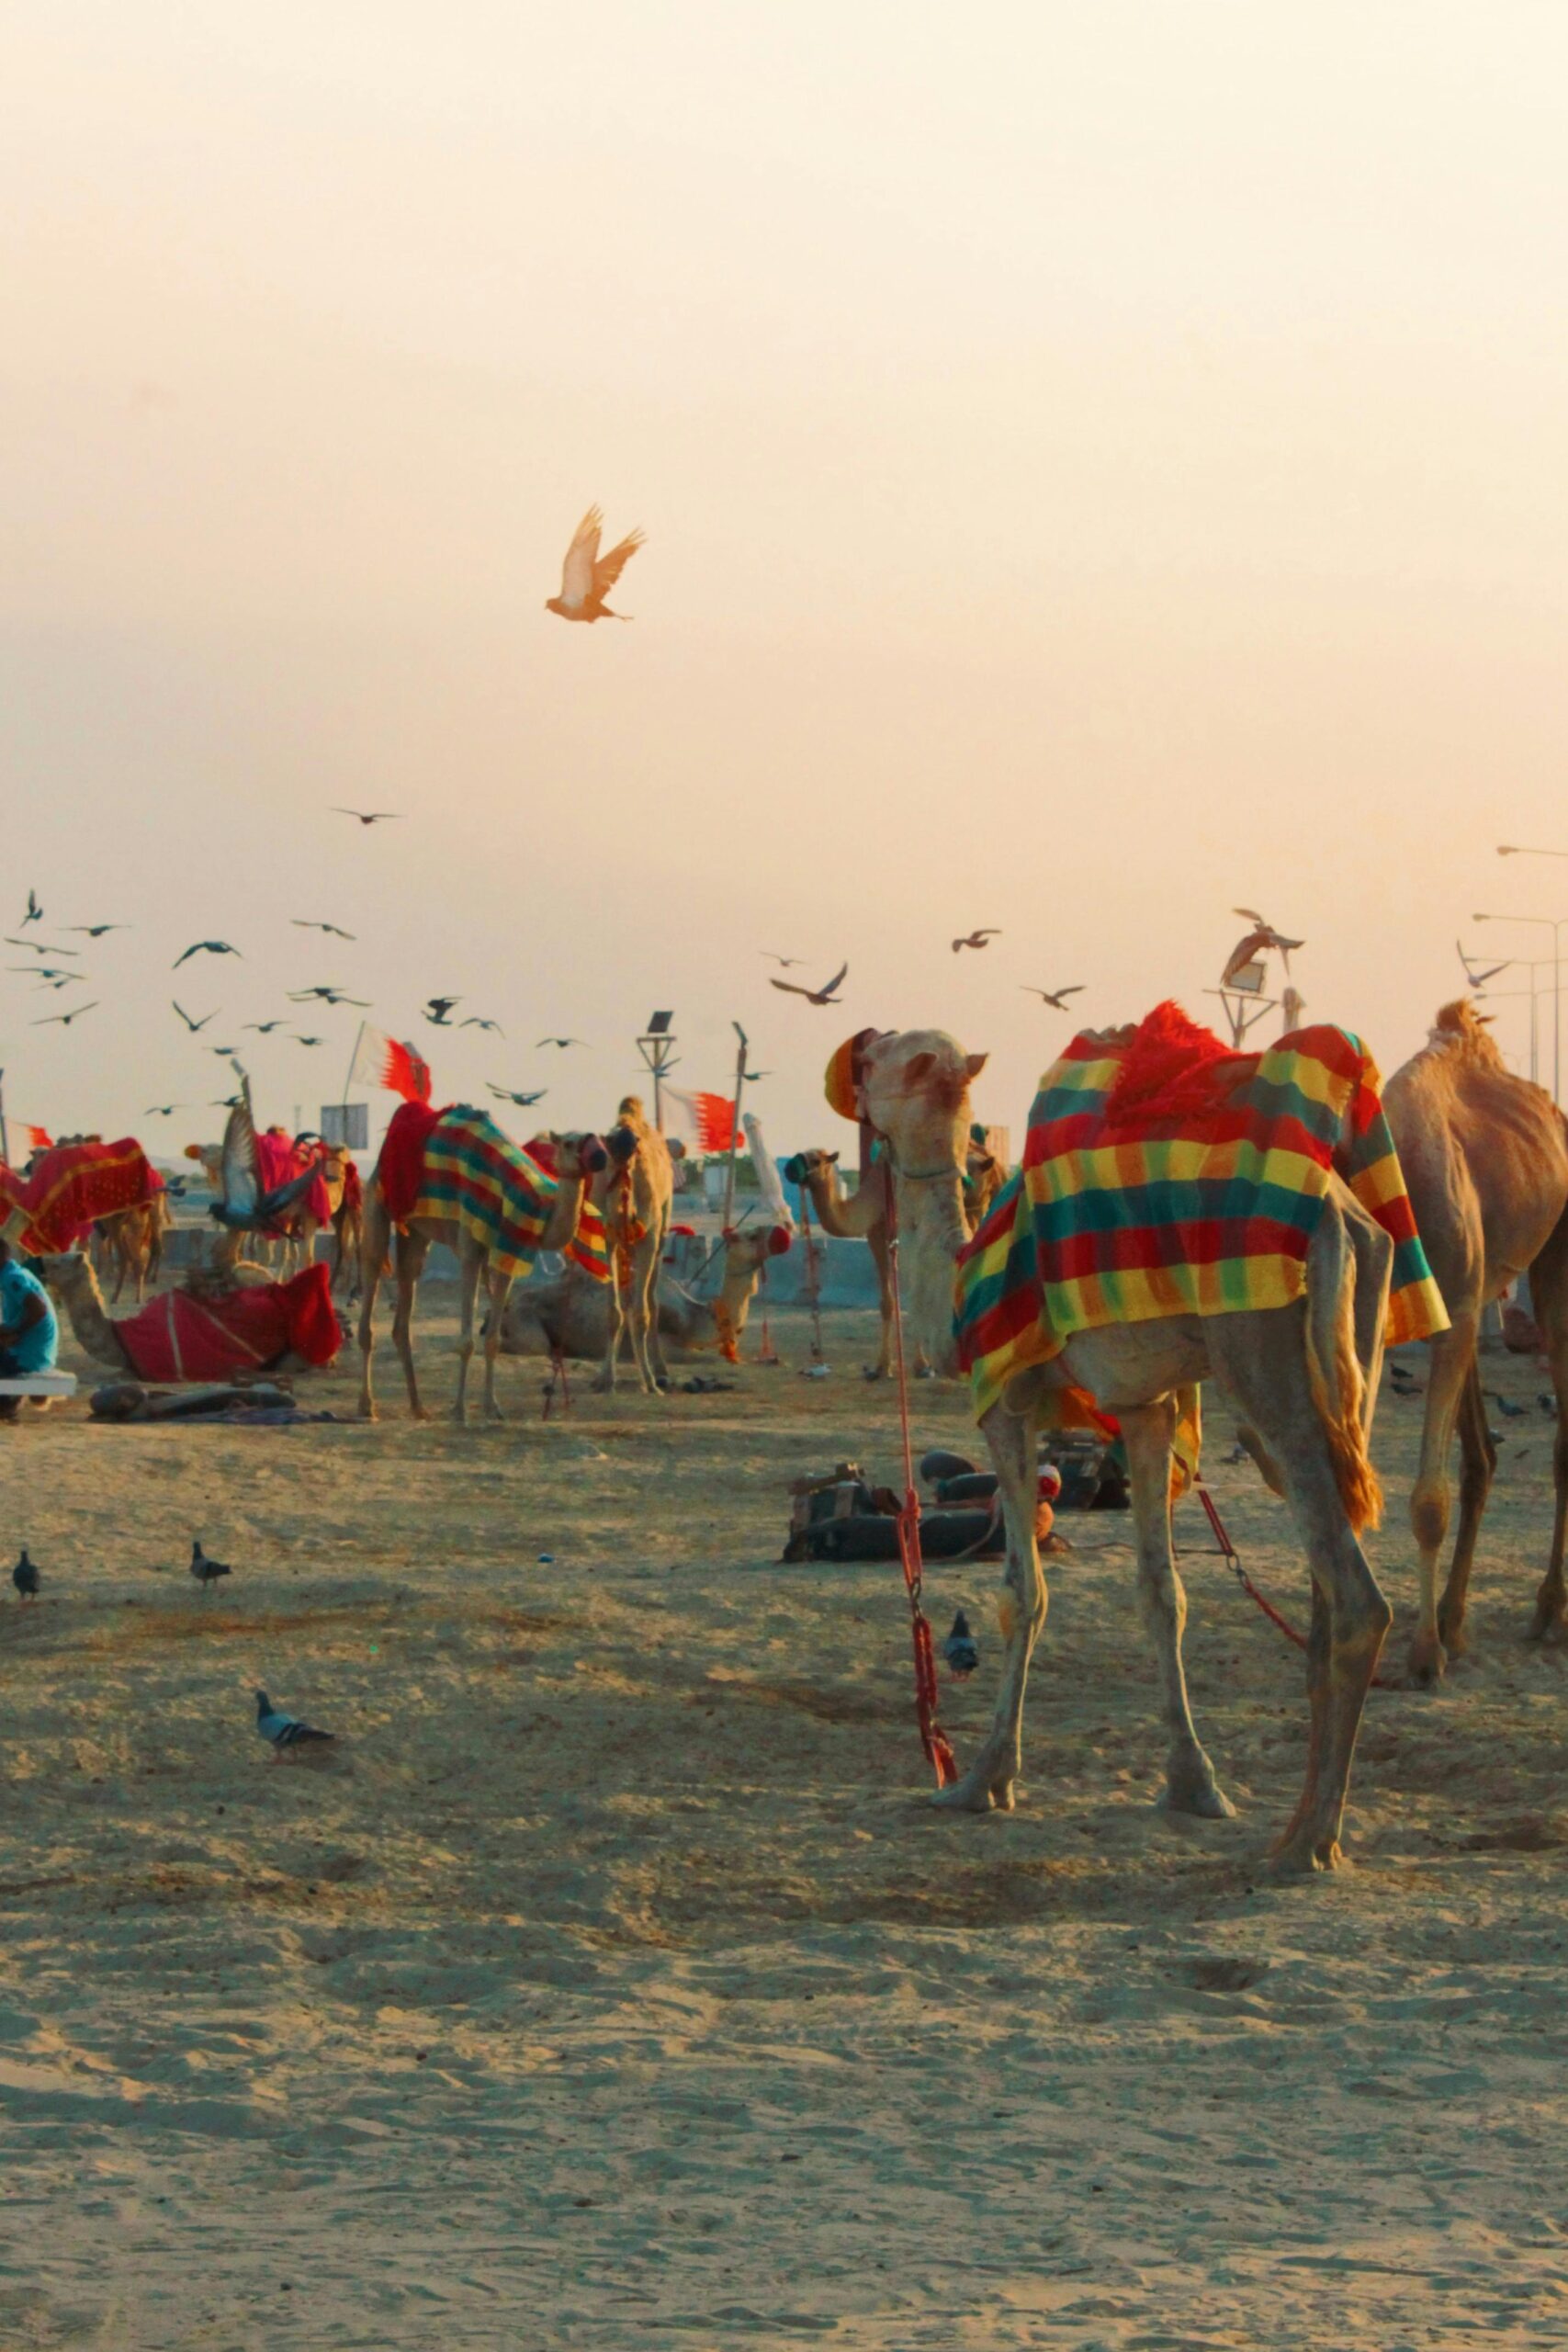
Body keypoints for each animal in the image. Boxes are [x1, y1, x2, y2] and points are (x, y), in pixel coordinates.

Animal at [356, 1132, 605, 1424]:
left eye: (594, 1138)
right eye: (568, 1142)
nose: (600, 1156)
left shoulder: (508, 1254)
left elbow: (493, 1339)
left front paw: (493, 1407)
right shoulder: (470, 1248)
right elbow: (466, 1341)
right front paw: (459, 1411)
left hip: (416, 1231)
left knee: (408, 1283)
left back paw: (418, 1407)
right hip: (376, 1203)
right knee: (372, 1265)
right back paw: (367, 1406)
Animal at [497, 1225, 777, 1374]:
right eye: (751, 1235)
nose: (776, 1231)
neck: (694, 1318)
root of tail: (508, 1305)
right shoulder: (664, 1344)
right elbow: (709, 1358)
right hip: (526, 1320)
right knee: (531, 1346)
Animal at [596, 1097, 674, 1395]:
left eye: (632, 1150)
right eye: (608, 1145)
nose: (623, 1147)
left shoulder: (648, 1238)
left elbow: (642, 1313)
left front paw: (650, 1382)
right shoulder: (609, 1239)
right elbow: (612, 1312)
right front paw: (605, 1378)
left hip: (662, 1232)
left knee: (651, 1300)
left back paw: (660, 1370)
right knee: (628, 1301)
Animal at [858, 1026, 1397, 1874]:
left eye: (882, 1055)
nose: (855, 1052)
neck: (959, 1274)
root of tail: (1342, 1219)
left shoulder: (1006, 1401)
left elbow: (1022, 1592)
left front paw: (981, 1780)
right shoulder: (1145, 1409)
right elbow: (1160, 1591)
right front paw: (1192, 1785)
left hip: (1258, 1350)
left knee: (1355, 1599)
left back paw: (1306, 1844)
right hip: (1357, 1355)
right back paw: (1300, 1827)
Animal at [1382, 1001, 1568, 1679]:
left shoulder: (1453, 1309)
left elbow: (1426, 1500)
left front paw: (1423, 1655)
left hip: (1547, 1260)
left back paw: (1547, 1612)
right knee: (1480, 1457)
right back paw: (1455, 1618)